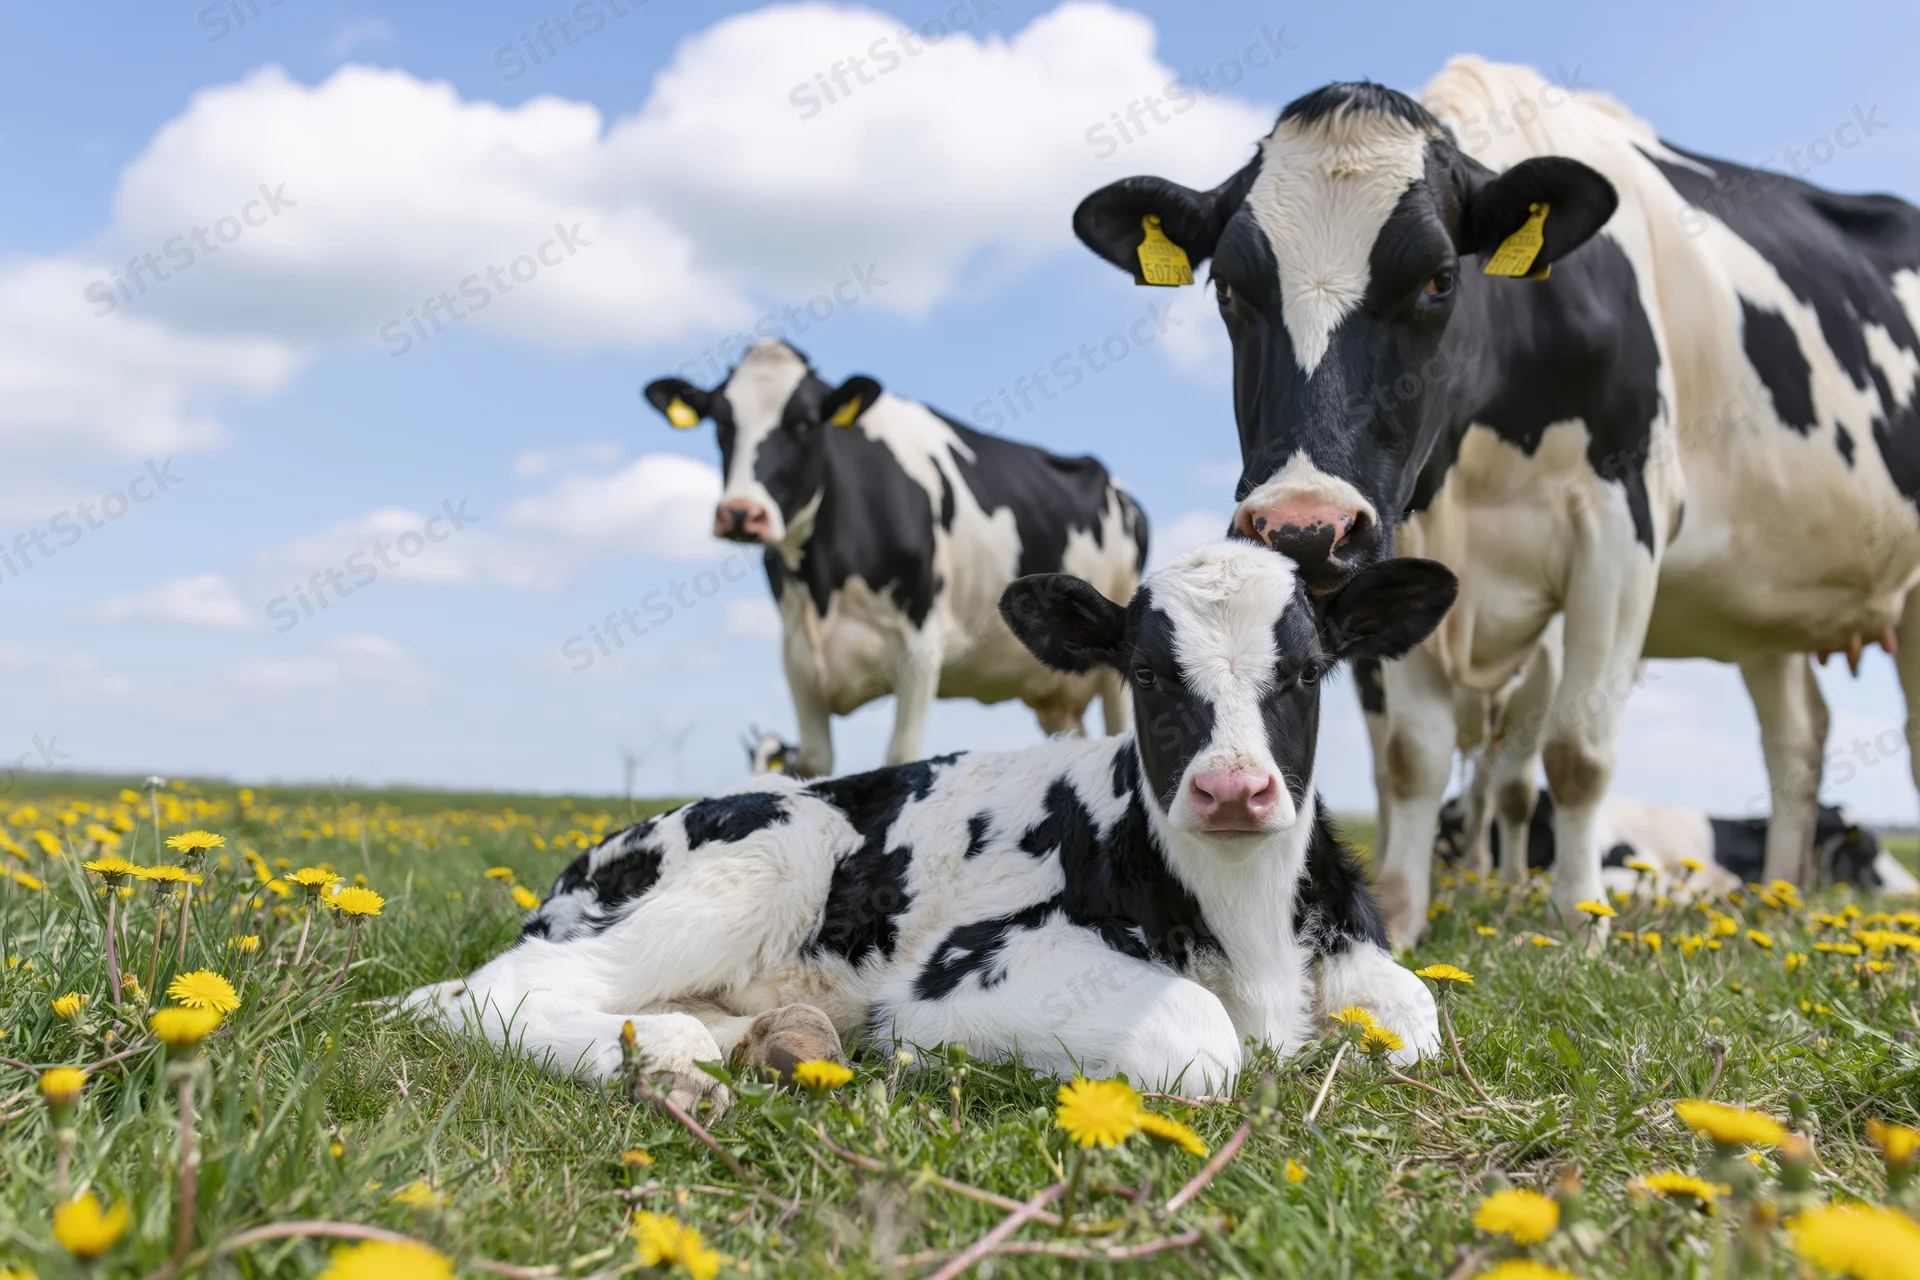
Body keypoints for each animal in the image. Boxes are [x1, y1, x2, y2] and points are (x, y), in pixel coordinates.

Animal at [402, 541, 1458, 1113]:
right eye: (1147, 673)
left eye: (1309, 671)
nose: (1233, 791)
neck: (1251, 932)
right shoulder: (961, 971)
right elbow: (1198, 1035)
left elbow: (1415, 1018)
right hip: (777, 848)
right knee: (481, 992)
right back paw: (664, 1052)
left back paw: (761, 1038)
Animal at [644, 339, 1149, 778]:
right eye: (722, 424)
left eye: (804, 424)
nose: (739, 513)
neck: (823, 585)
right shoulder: (797, 657)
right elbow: (813, 763)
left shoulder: (921, 645)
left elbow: (901, 755)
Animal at [1072, 57, 1920, 945]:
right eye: (1230, 290)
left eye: (1441, 280)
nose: (1305, 530)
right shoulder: (1403, 544)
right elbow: (1412, 755)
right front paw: (1402, 914)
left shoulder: (1620, 528)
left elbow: (1576, 750)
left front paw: (1579, 920)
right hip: (1765, 613)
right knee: (1797, 739)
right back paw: (1780, 900)